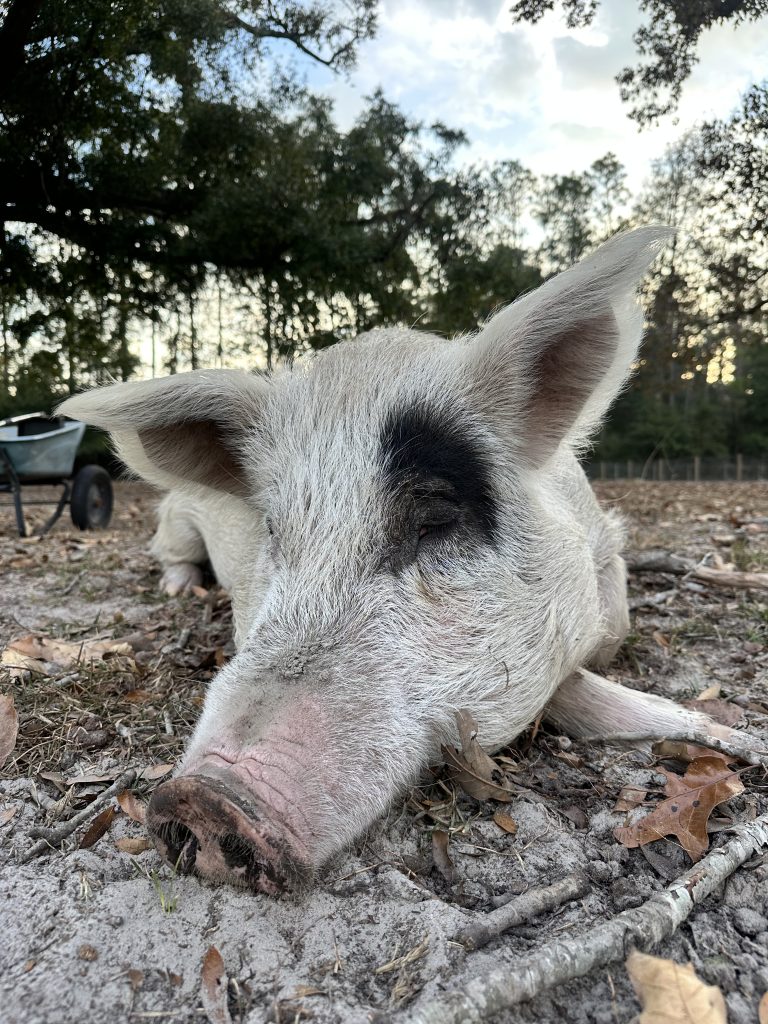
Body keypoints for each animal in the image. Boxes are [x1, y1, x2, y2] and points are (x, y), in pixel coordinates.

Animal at [59, 227, 736, 893]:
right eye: (274, 530)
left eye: (435, 517)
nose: (202, 797)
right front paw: (722, 732)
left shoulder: (607, 550)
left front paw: (719, 732)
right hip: (173, 519)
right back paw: (180, 591)